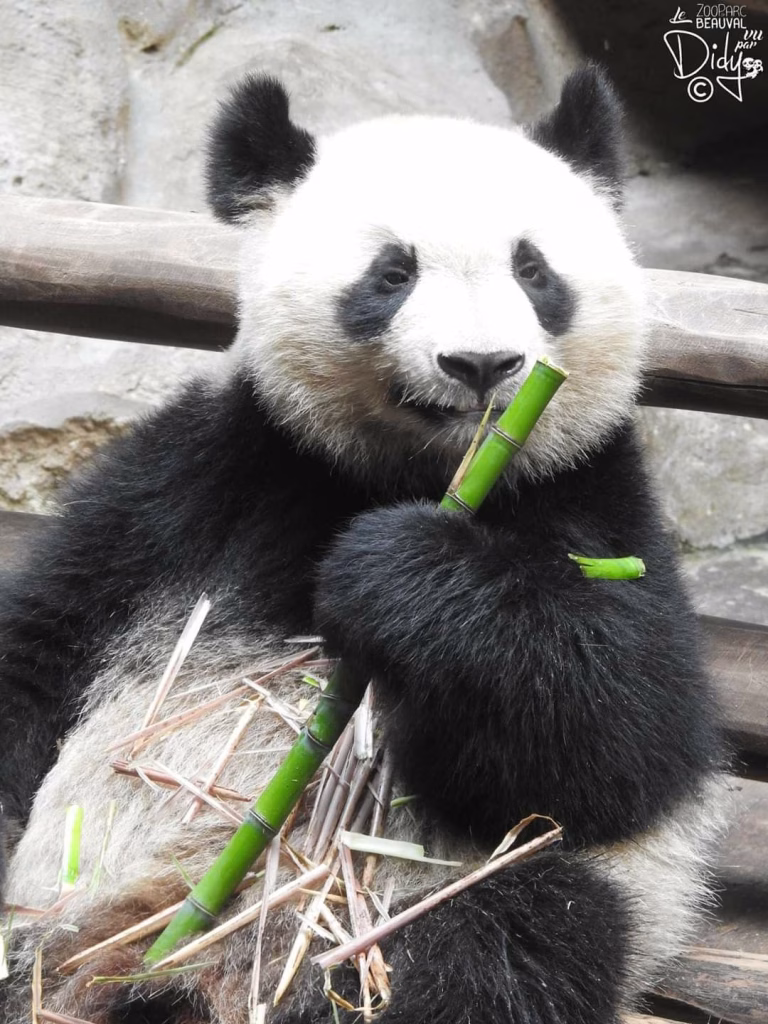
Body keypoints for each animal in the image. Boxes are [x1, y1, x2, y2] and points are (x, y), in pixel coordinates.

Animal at [0, 67, 725, 1024]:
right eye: (393, 272)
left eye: (533, 269)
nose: (482, 365)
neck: (421, 471)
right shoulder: (206, 470)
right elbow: (44, 644)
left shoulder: (590, 492)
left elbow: (631, 736)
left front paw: (399, 573)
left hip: (458, 902)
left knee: (512, 935)